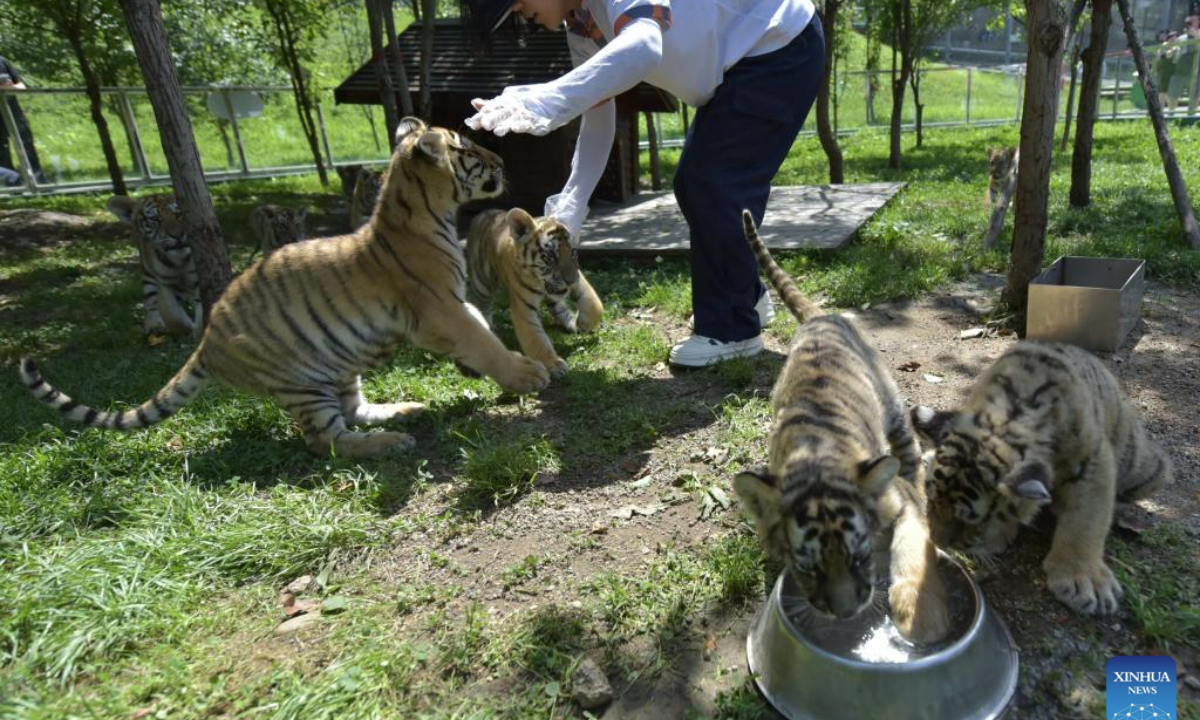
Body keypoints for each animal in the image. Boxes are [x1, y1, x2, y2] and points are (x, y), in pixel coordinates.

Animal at [107, 194, 200, 337]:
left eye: (179, 214)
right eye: (155, 219)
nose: (178, 235)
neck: (179, 261)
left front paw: (200, 330)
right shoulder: (165, 283)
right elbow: (171, 315)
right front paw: (190, 328)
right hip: (148, 274)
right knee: (150, 301)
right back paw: (154, 325)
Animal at [465, 208, 604, 379]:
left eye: (572, 252)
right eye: (551, 256)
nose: (570, 281)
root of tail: (482, 213)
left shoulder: (578, 279)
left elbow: (593, 302)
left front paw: (584, 323)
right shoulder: (523, 307)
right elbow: (536, 339)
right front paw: (554, 365)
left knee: (558, 308)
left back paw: (572, 323)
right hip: (481, 284)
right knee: (482, 306)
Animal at [733, 210, 949, 643]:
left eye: (860, 557)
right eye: (809, 568)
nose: (847, 613)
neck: (816, 457)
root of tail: (821, 316)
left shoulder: (898, 502)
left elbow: (911, 548)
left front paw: (921, 618)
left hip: (894, 407)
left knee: (912, 459)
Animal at [911, 342, 1172, 615]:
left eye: (972, 521)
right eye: (931, 502)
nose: (937, 542)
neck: (1007, 416)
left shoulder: (1092, 461)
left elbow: (1087, 519)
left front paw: (1083, 583)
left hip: (1142, 467)